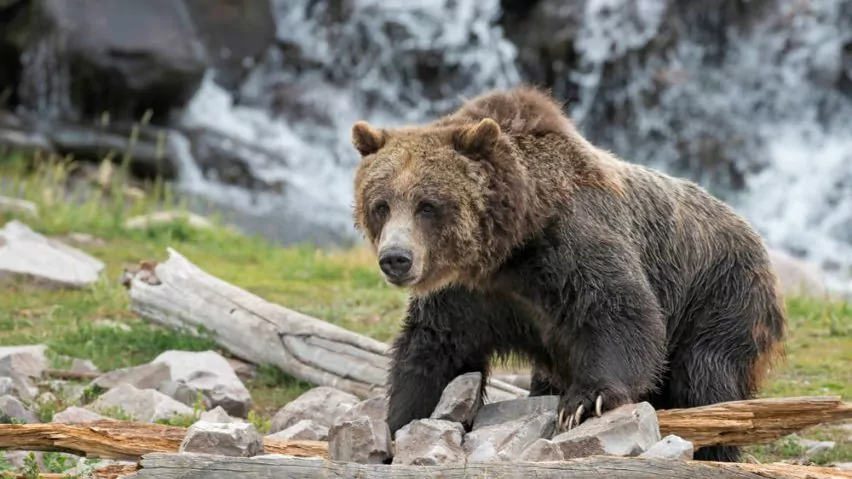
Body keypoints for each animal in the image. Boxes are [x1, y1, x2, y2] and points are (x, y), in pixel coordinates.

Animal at [350, 84, 788, 464]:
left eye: (428, 205)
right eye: (381, 204)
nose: (395, 258)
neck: (510, 248)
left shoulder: (571, 246)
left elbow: (621, 313)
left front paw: (584, 402)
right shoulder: (469, 295)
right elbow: (433, 350)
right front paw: (399, 424)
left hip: (720, 296)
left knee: (707, 378)